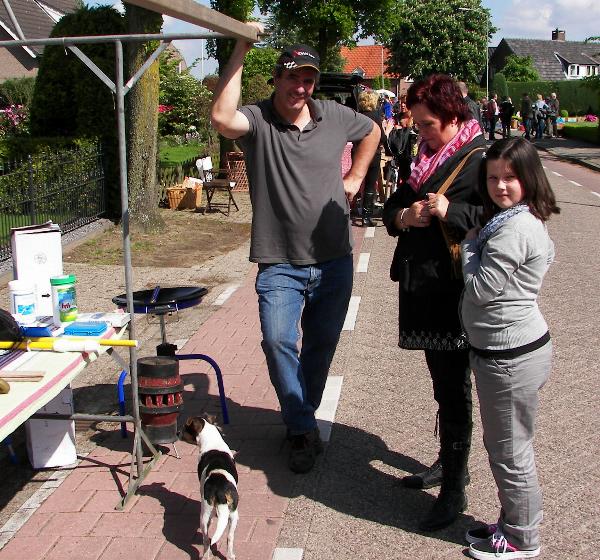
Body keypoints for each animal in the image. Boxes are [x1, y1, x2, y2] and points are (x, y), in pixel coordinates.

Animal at [180, 414, 239, 560]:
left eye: (184, 427)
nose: (177, 433)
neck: (212, 441)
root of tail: (220, 491)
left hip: (204, 516)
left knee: (206, 540)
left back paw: (206, 556)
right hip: (234, 514)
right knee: (229, 537)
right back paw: (230, 555)